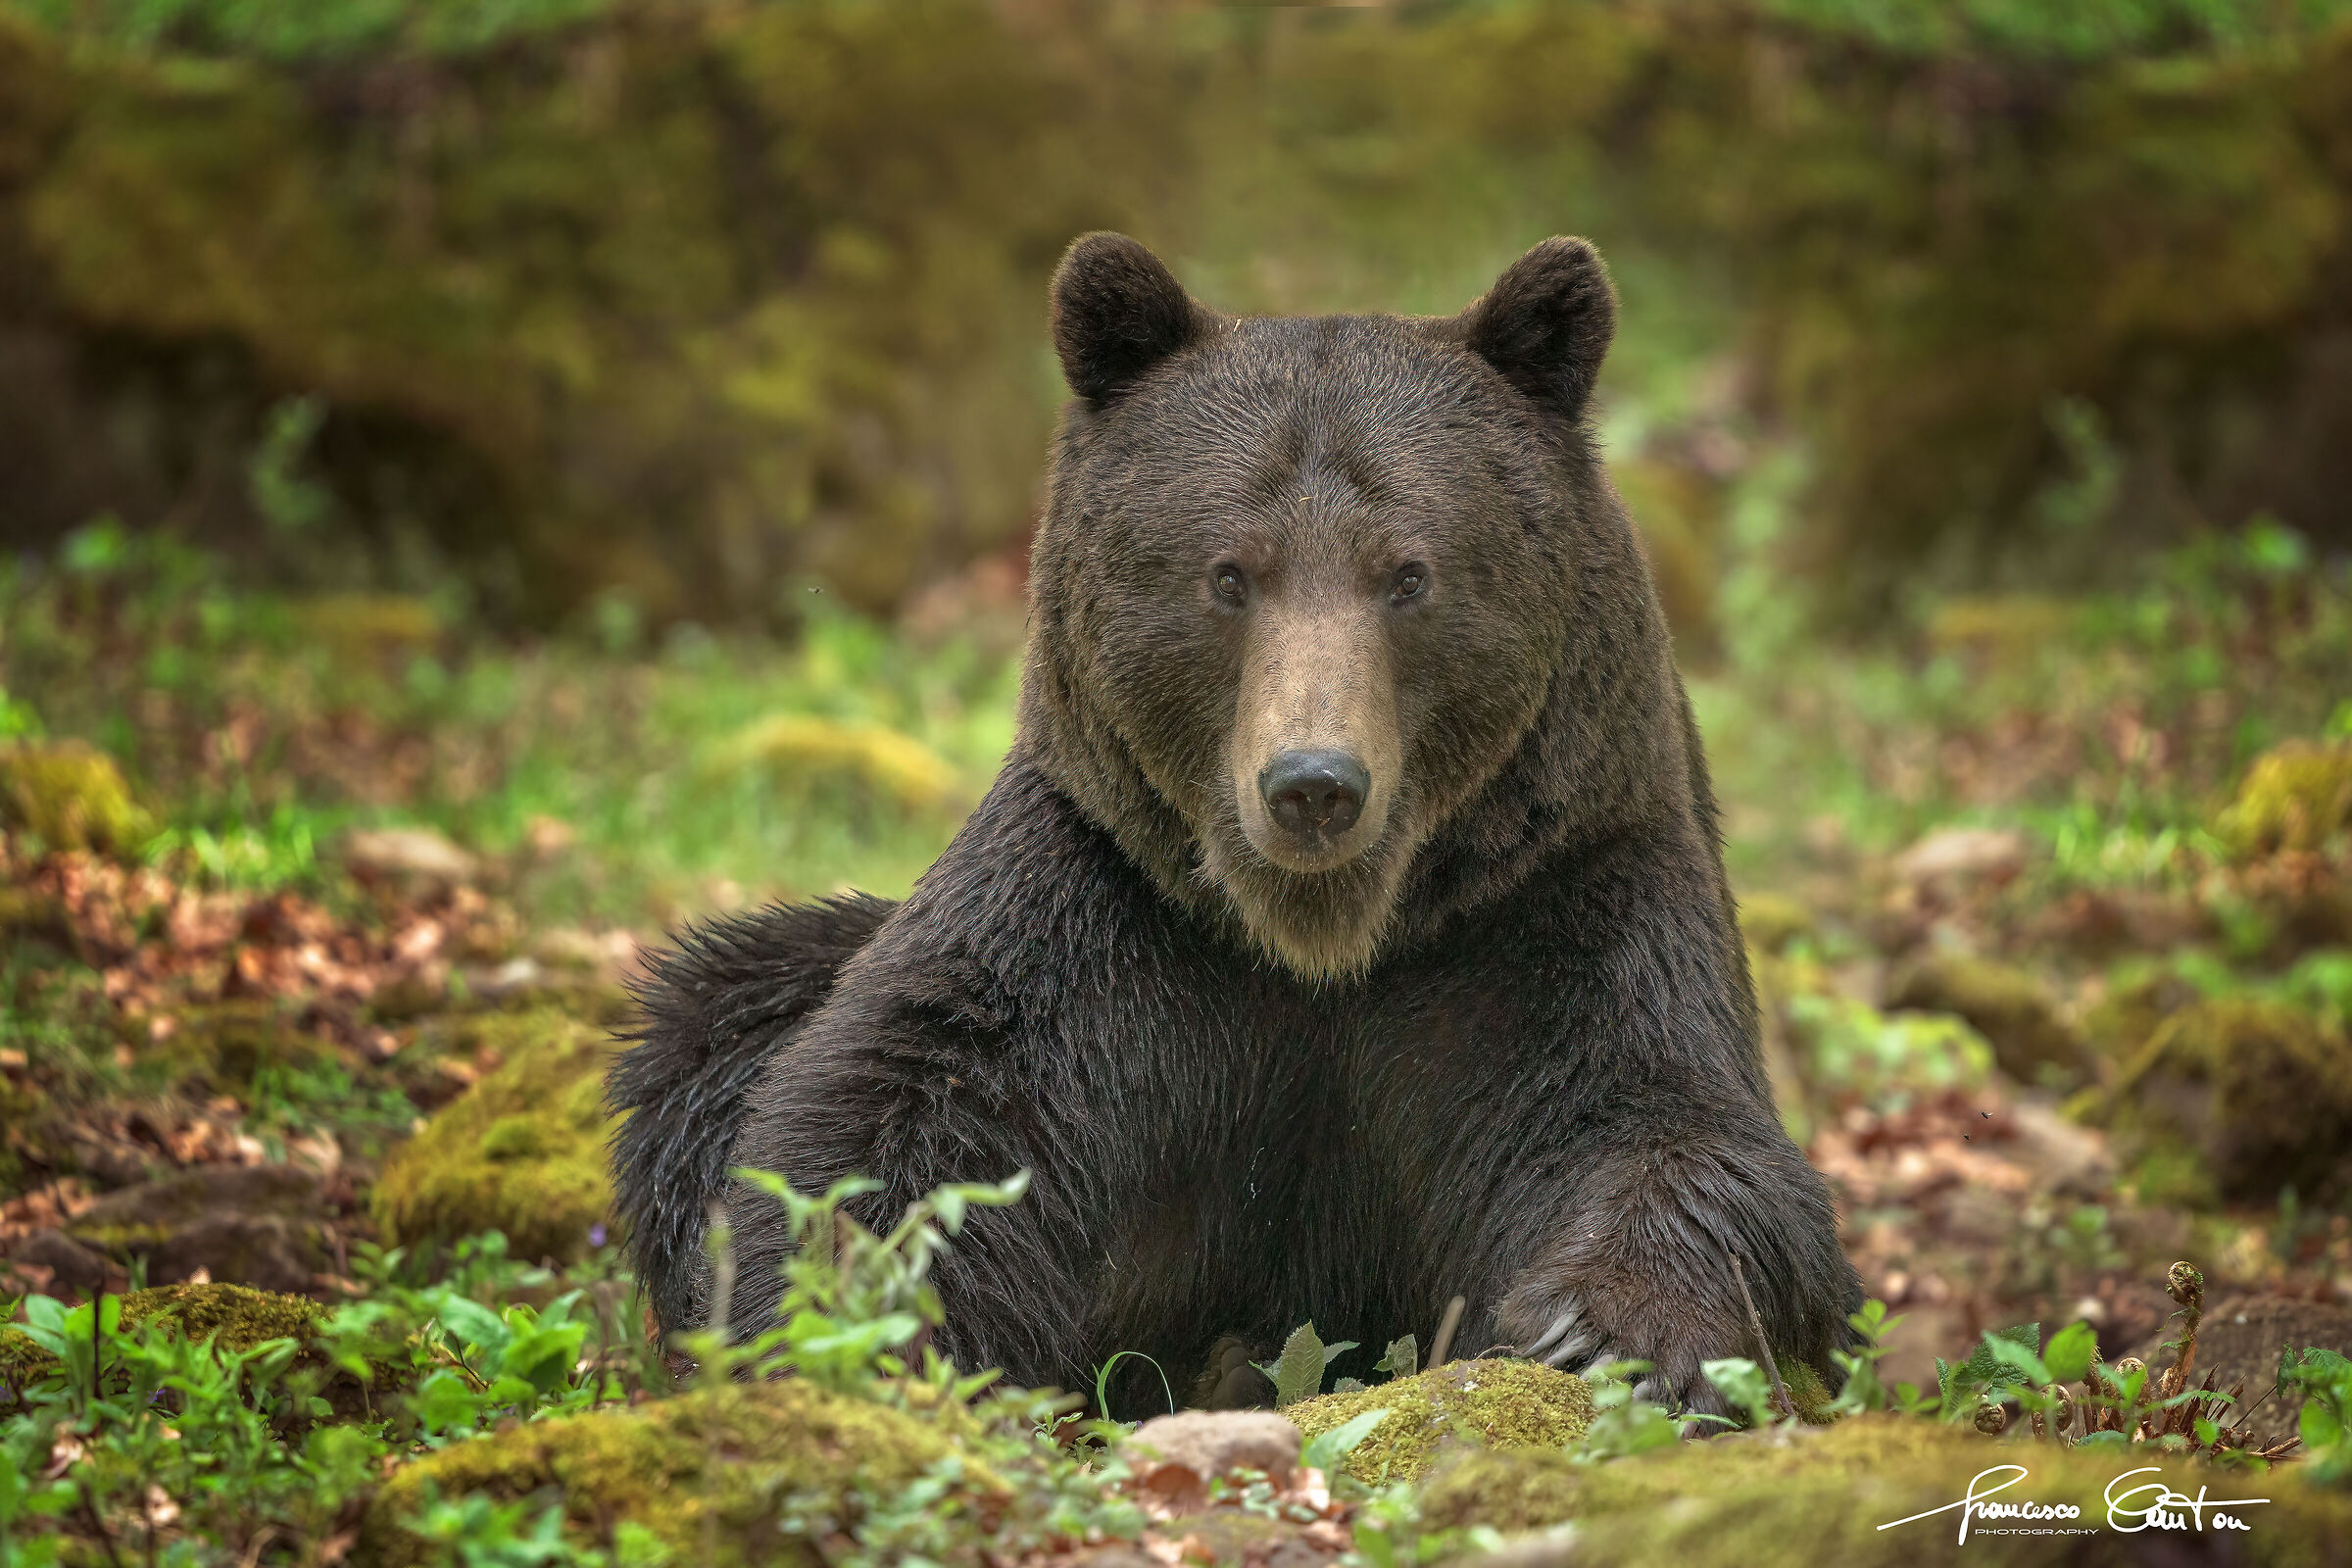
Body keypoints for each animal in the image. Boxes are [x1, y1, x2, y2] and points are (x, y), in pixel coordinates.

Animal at [608, 232, 1861, 1418]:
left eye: (1409, 574)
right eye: (1228, 574)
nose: (1312, 783)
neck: (1322, 941)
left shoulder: (1548, 901)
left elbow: (1659, 1121)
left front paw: (1606, 1334)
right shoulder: (1111, 914)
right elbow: (903, 1118)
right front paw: (860, 1328)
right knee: (717, 1012)